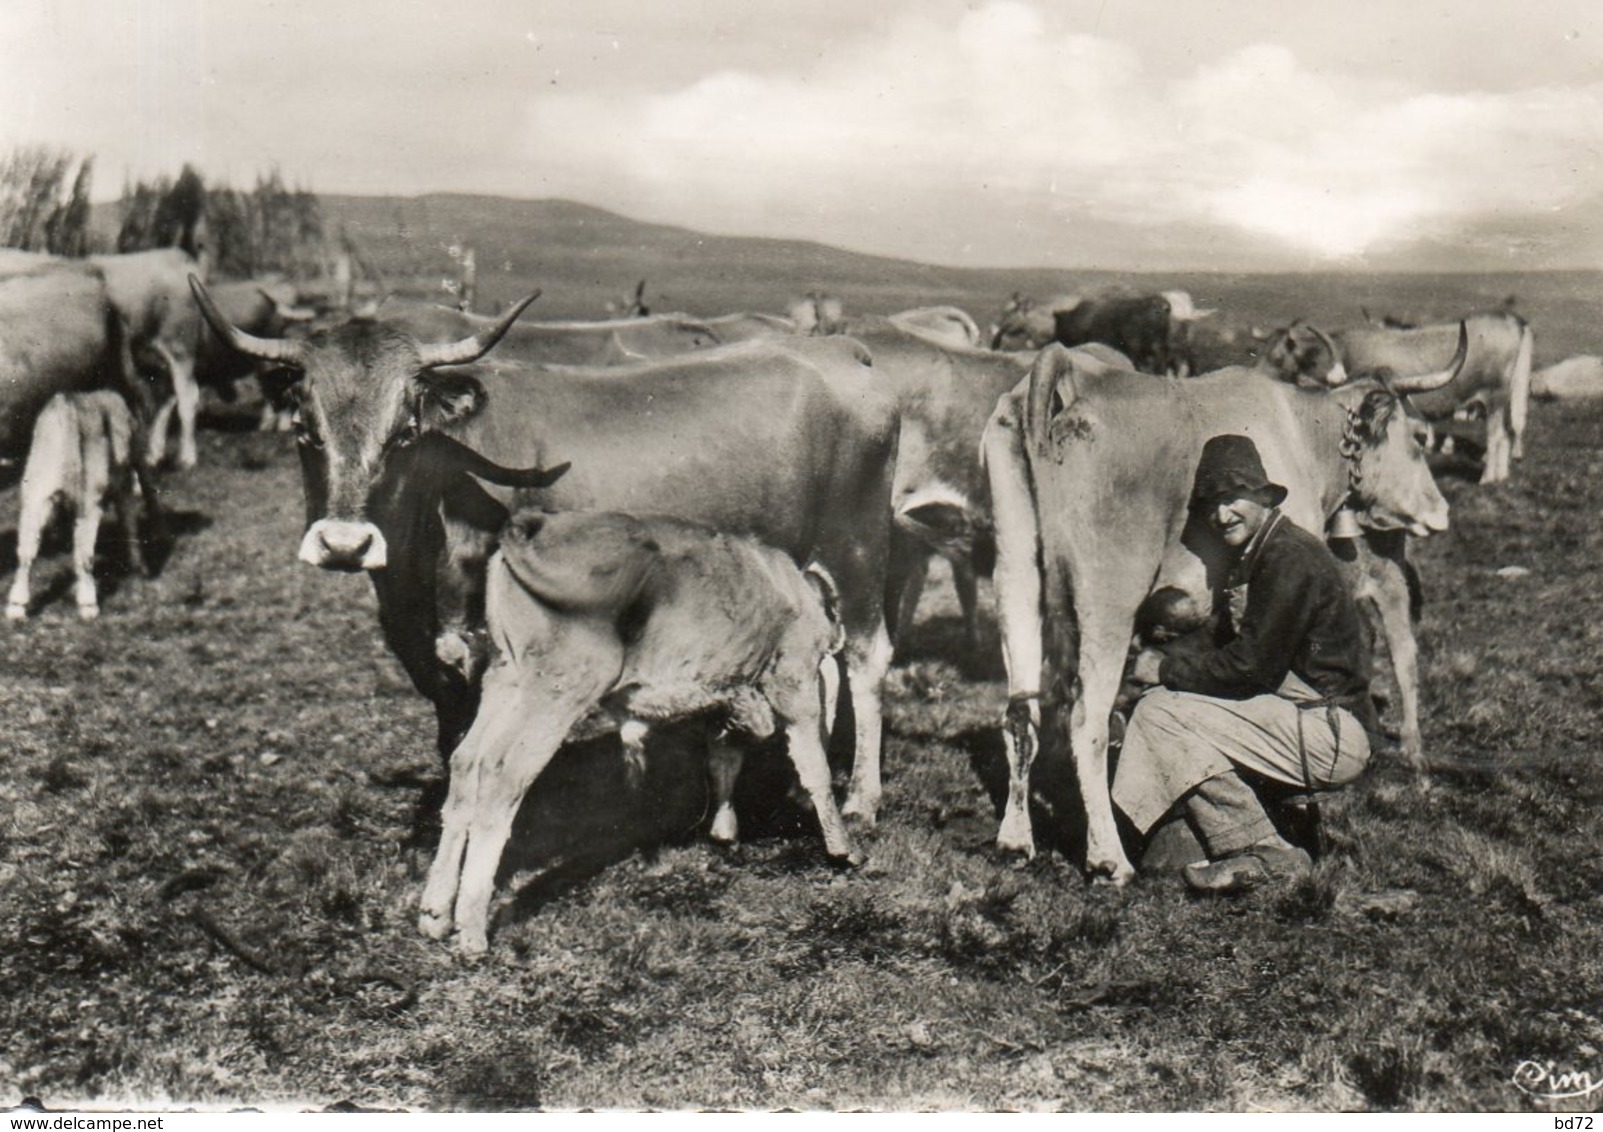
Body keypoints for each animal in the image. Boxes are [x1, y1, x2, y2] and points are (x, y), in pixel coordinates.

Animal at [5, 388, 157, 615]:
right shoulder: (36, 500)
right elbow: (26, 552)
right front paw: (16, 606)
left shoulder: (86, 503)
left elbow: (82, 554)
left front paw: (87, 604)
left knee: (134, 513)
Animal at [187, 280, 904, 827]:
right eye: (304, 428)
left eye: (406, 432)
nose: (344, 543)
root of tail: (838, 348)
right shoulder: (416, 634)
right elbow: (447, 722)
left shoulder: (481, 633)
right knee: (825, 662)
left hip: (858, 544)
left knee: (867, 659)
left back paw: (862, 798)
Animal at [419, 506, 859, 955]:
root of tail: (532, 528)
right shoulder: (794, 676)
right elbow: (815, 768)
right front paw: (843, 848)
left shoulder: (727, 691)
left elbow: (724, 760)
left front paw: (723, 831)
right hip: (557, 689)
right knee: (502, 775)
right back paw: (471, 927)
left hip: (506, 678)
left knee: (467, 762)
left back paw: (435, 913)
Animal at [974, 335, 1468, 885]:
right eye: (1421, 436)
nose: (1441, 512)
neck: (1302, 431)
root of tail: (1070, 369)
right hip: (1108, 594)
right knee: (1086, 721)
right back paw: (1109, 859)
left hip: (1016, 572)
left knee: (1022, 714)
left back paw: (1016, 840)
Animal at [1256, 311, 1532, 484]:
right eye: (1264, 349)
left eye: (1277, 357)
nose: (1255, 374)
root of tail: (1508, 320)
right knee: (1509, 430)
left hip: (1495, 395)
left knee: (1497, 435)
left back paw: (1487, 478)